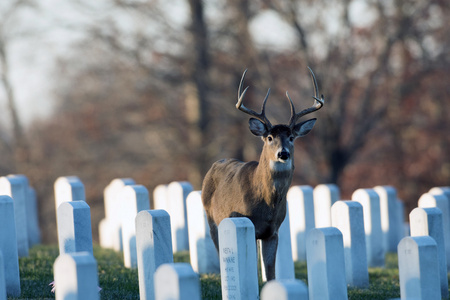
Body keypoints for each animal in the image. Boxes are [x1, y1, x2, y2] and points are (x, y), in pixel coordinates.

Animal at [202, 68, 326, 282]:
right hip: (213, 220)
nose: (283, 153)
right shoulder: (248, 227)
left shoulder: (273, 231)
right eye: (269, 137)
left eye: (291, 137)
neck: (267, 203)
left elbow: (271, 272)